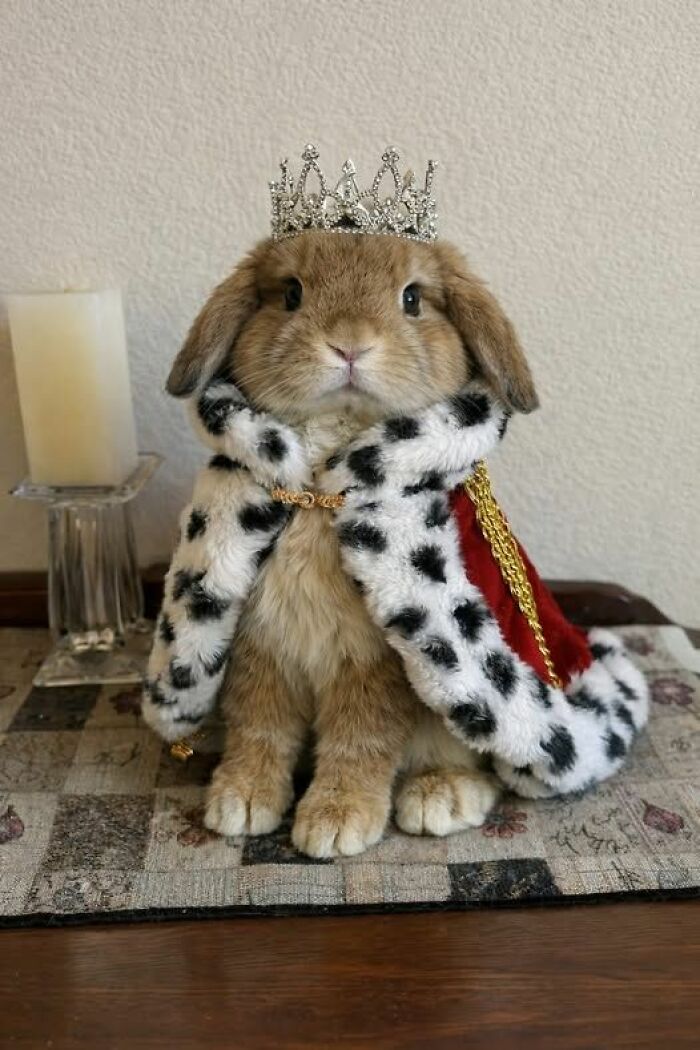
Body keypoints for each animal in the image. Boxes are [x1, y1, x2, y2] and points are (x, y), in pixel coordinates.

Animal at [166, 230, 538, 858]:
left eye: (412, 298)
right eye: (291, 293)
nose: (349, 346)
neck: (322, 492)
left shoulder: (376, 666)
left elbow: (360, 741)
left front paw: (335, 823)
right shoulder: (259, 650)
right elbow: (260, 728)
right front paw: (240, 802)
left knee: (479, 763)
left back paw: (439, 796)